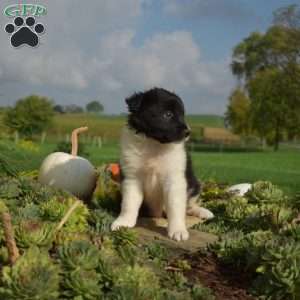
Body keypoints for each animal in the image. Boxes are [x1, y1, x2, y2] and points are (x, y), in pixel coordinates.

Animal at [112, 87, 213, 241]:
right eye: (168, 114)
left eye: (182, 115)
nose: (188, 132)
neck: (155, 144)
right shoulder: (132, 178)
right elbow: (129, 203)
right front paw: (123, 222)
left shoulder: (175, 179)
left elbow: (175, 206)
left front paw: (178, 230)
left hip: (195, 184)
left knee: (189, 205)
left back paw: (203, 212)